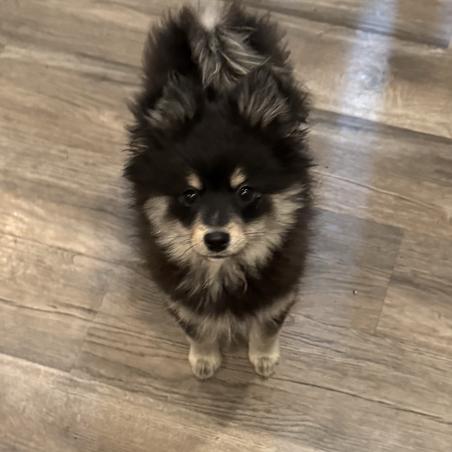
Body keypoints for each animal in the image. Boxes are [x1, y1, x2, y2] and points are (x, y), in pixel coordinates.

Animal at [124, 1, 313, 379]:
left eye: (245, 192)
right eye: (189, 195)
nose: (216, 239)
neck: (224, 270)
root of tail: (209, 21)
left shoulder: (278, 293)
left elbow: (267, 327)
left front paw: (264, 357)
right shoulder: (181, 300)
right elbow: (197, 329)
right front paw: (205, 359)